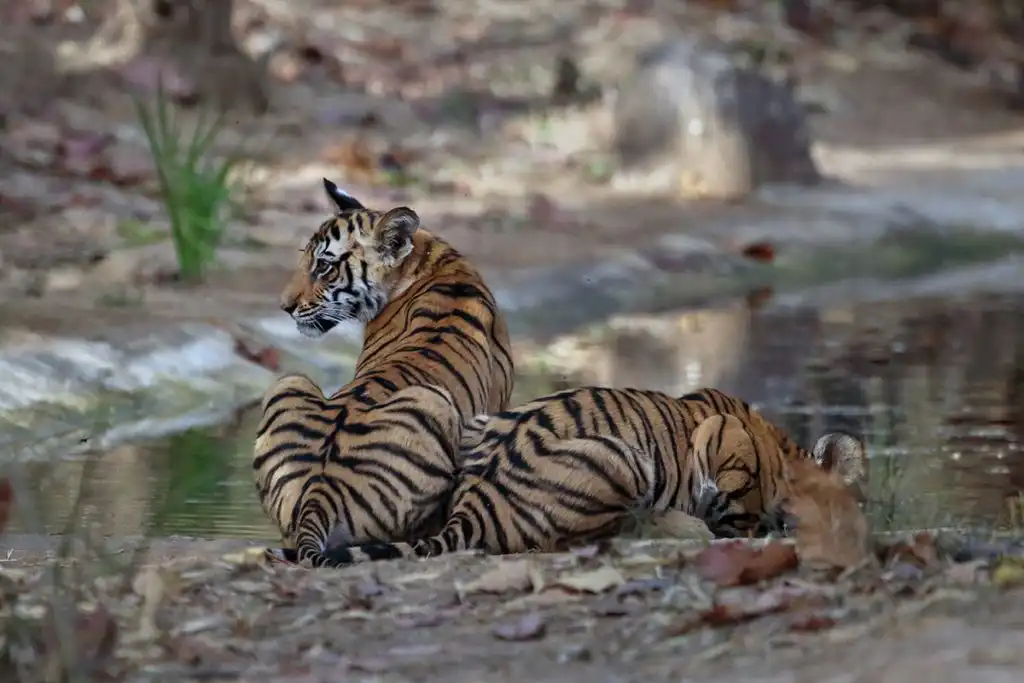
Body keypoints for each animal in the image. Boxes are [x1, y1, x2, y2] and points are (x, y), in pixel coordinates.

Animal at [253, 178, 515, 566]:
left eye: (324, 267)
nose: (285, 307)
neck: (429, 256)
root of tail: (319, 491)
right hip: (431, 400)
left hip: (289, 381)